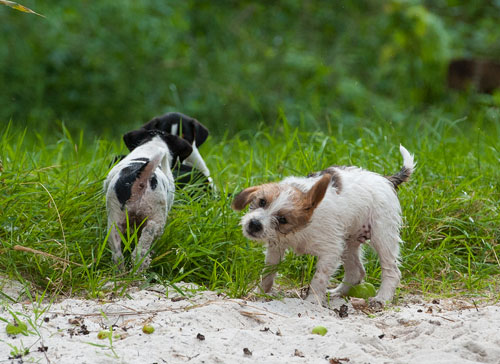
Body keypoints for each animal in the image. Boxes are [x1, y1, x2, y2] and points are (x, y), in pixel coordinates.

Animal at [104, 129, 192, 270]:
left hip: (115, 222)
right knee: (141, 251)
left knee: (118, 256)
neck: (152, 145)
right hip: (155, 220)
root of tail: (140, 176)